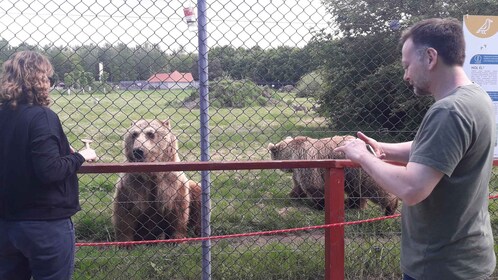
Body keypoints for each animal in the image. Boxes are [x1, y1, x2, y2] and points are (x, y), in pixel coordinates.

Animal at [266, 135, 398, 215]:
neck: (291, 154)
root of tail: (367, 146)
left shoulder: (307, 161)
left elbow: (313, 186)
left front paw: (320, 205)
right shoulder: (299, 170)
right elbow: (298, 185)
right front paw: (293, 196)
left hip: (358, 168)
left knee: (373, 187)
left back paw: (391, 207)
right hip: (352, 175)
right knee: (357, 191)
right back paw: (353, 205)